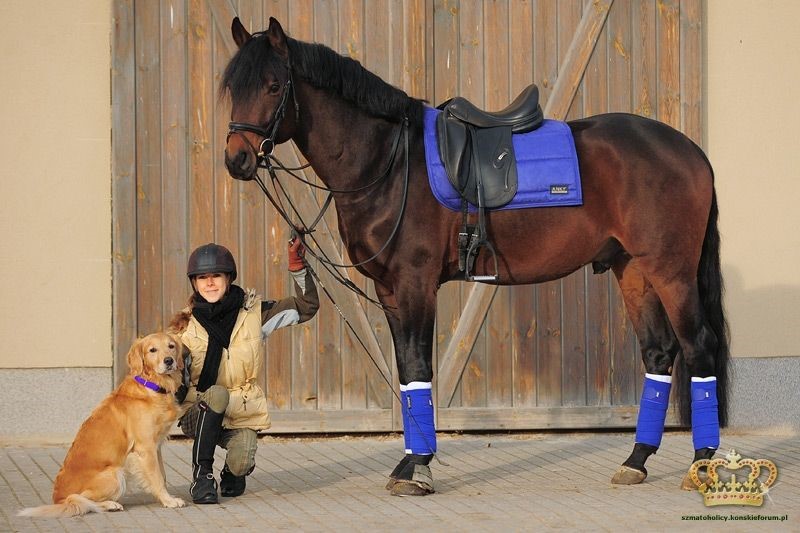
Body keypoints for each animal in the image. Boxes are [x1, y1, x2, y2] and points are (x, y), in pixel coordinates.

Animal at [222, 17, 728, 494]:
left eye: (272, 86)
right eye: (232, 89)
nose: (236, 160)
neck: (389, 162)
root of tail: (692, 151)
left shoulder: (415, 284)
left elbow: (419, 369)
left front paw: (418, 469)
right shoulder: (389, 291)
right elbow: (405, 372)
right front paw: (409, 462)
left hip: (671, 272)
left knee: (698, 347)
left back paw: (702, 462)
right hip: (634, 270)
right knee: (659, 353)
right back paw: (636, 461)